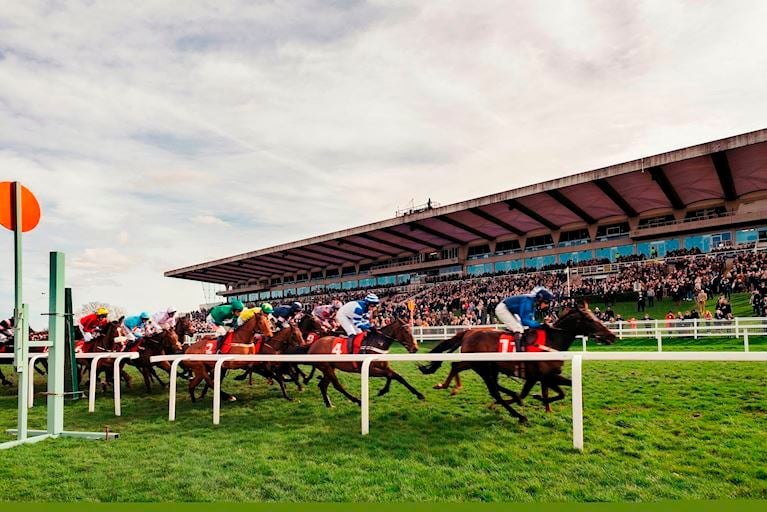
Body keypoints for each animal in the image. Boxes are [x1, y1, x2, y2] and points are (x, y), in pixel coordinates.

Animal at [416, 304, 616, 424]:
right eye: (590, 320)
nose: (612, 336)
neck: (551, 341)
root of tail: (469, 332)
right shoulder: (541, 376)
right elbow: (549, 392)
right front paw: (536, 399)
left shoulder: (546, 376)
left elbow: (562, 390)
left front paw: (543, 403)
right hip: (482, 366)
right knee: (494, 390)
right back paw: (518, 414)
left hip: (479, 364)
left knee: (457, 366)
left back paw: (449, 386)